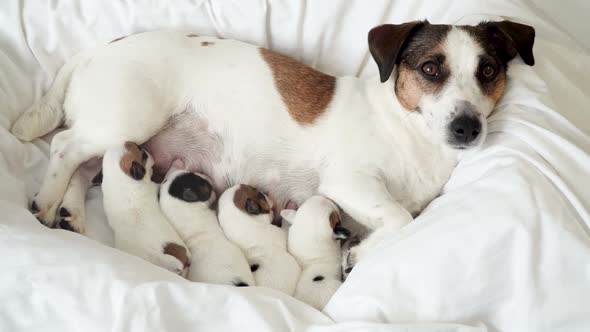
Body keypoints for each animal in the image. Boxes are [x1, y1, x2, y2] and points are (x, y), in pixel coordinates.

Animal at [102, 141, 192, 276]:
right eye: (143, 154)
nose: (149, 152)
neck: (118, 177)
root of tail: (157, 257)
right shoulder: (157, 186)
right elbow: (168, 174)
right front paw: (177, 163)